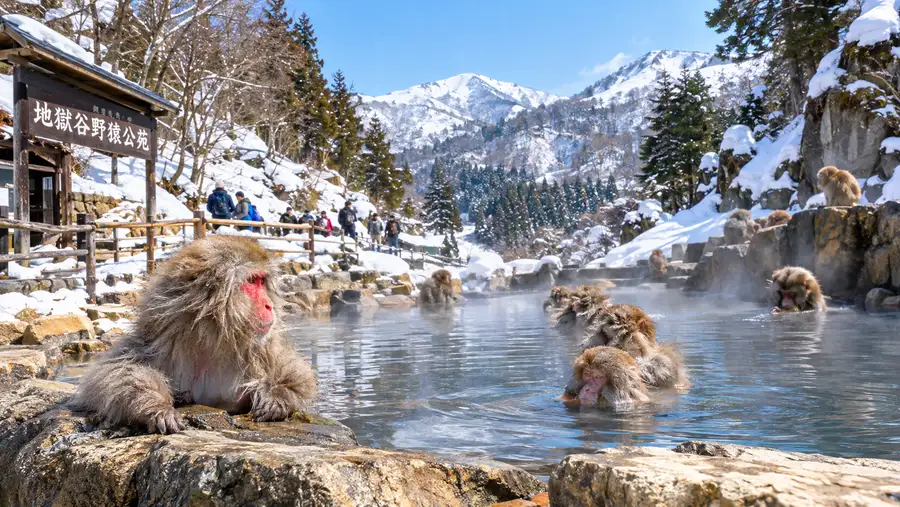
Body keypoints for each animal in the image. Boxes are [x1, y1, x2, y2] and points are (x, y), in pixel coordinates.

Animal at [70, 236, 318, 434]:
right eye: (251, 281)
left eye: (262, 282)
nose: (269, 305)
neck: (212, 343)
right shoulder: (157, 342)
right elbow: (109, 376)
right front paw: (157, 408)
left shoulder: (261, 350)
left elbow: (297, 375)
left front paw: (277, 396)